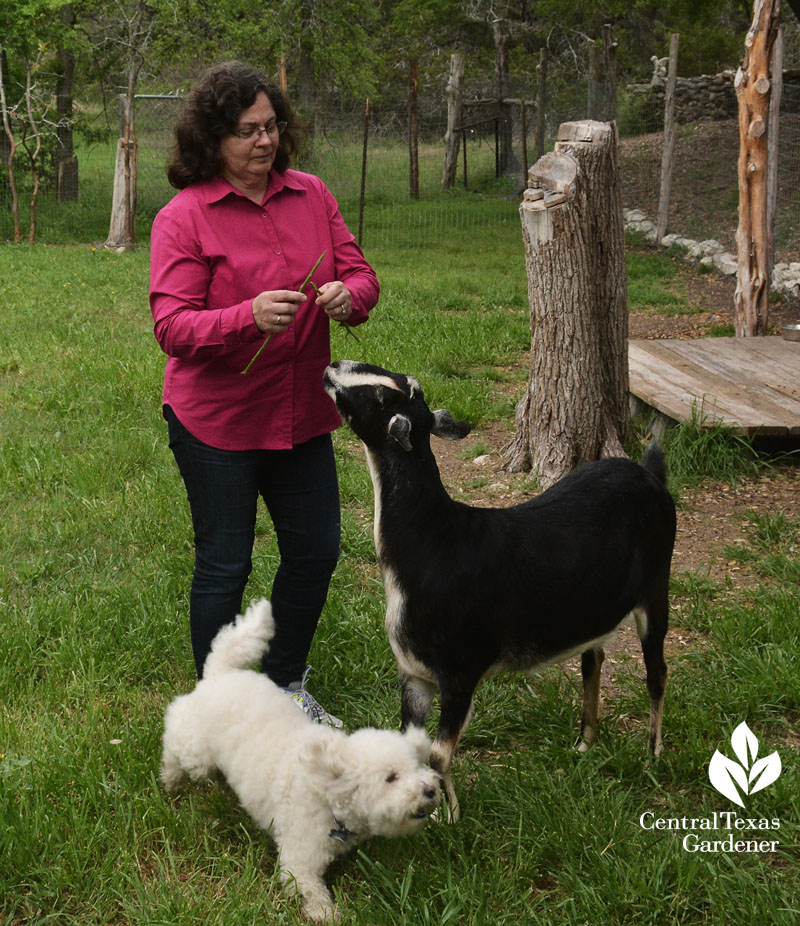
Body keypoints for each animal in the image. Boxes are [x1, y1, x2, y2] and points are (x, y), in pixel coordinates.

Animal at [159, 600, 440, 924]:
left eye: (417, 767)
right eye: (391, 777)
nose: (430, 790)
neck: (327, 795)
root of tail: (221, 673)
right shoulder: (299, 859)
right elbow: (309, 889)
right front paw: (327, 913)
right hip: (196, 751)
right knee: (176, 744)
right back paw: (169, 778)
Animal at [322, 362, 680, 820]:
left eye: (380, 397)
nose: (334, 367)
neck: (433, 542)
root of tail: (650, 473)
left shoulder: (461, 671)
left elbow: (438, 754)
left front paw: (448, 816)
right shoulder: (414, 673)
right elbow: (411, 746)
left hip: (656, 588)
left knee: (657, 672)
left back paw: (653, 754)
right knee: (593, 657)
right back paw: (585, 742)